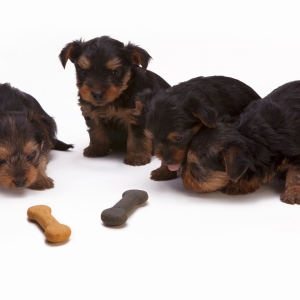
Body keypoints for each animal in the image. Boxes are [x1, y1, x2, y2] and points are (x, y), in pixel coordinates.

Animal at [59, 36, 170, 166]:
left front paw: (137, 156)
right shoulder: (91, 112)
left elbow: (137, 136)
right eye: (84, 72)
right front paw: (97, 148)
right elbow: (95, 130)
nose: (97, 94)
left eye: (114, 72)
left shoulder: (137, 115)